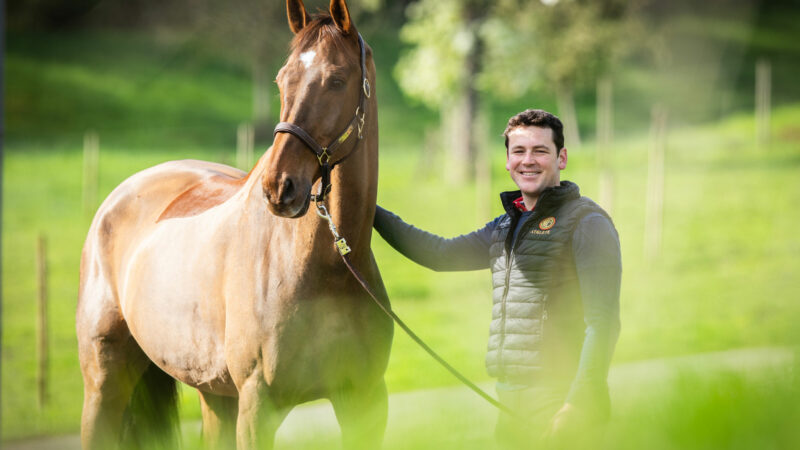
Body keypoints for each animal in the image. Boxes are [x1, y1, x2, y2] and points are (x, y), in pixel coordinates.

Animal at [76, 1, 396, 448]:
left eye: (336, 80)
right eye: (282, 79)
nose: (279, 187)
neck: (325, 269)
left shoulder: (365, 401)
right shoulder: (258, 407)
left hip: (213, 392)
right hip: (104, 384)